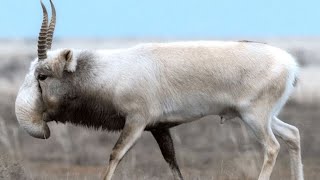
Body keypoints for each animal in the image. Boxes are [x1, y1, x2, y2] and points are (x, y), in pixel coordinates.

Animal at [15, 0, 304, 179]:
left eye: (42, 75)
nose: (39, 122)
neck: (111, 72)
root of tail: (290, 64)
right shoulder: (159, 129)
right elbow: (173, 164)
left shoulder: (136, 122)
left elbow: (115, 155)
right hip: (262, 117)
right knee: (293, 134)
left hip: (254, 118)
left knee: (272, 147)